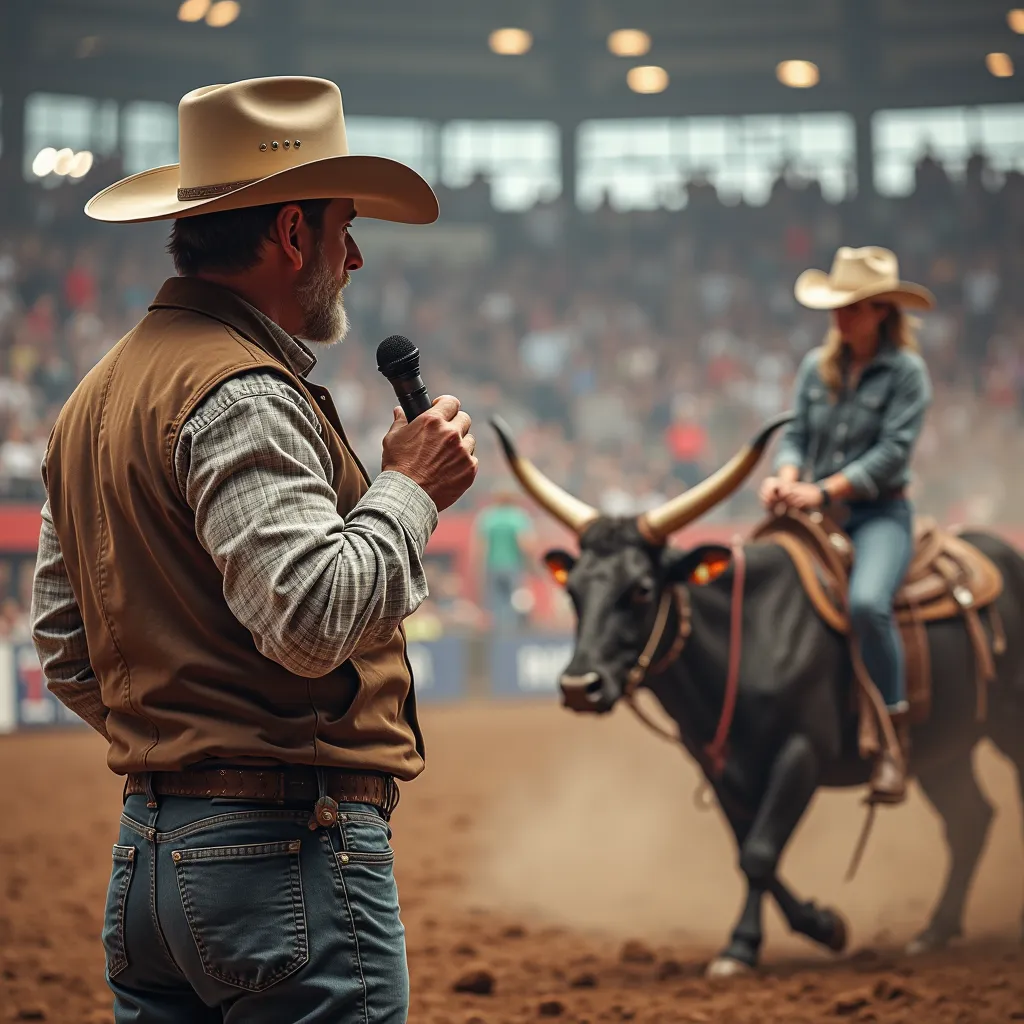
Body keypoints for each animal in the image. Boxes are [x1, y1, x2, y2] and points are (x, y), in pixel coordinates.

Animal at [485, 413, 1024, 974]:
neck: (747, 641)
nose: (579, 686)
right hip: (945, 750)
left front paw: (757, 942)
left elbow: (761, 852)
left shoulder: (801, 753)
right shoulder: (719, 766)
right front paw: (812, 927)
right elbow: (749, 850)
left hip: (1007, 724)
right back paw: (936, 930)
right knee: (971, 820)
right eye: (572, 592)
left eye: (641, 588)